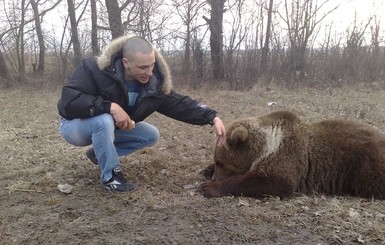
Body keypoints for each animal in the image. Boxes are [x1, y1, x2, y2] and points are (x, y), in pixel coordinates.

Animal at [200, 110, 384, 199]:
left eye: (222, 162)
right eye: (217, 161)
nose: (215, 177)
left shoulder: (287, 154)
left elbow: (275, 181)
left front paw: (208, 188)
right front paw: (206, 170)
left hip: (364, 168)